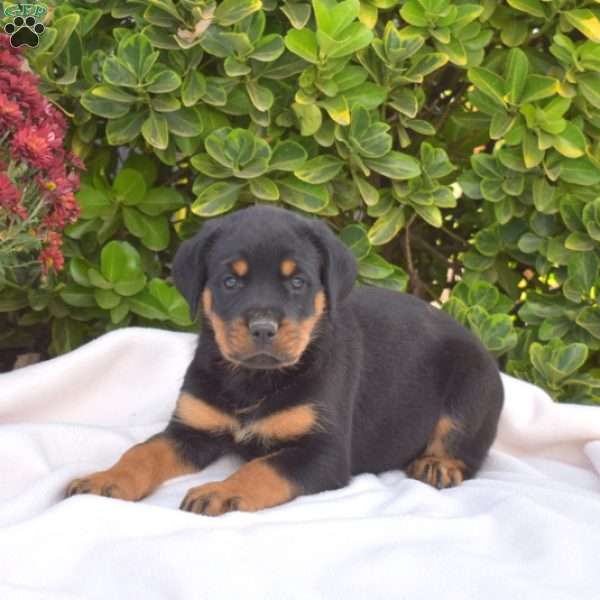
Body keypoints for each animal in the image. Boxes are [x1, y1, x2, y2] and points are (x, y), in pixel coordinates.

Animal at [68, 206, 504, 516]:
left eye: (298, 282)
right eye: (230, 281)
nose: (263, 328)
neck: (254, 380)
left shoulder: (324, 453)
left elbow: (262, 468)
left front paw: (221, 491)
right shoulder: (190, 429)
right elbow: (142, 452)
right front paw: (106, 479)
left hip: (472, 386)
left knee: (464, 444)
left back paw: (438, 465)